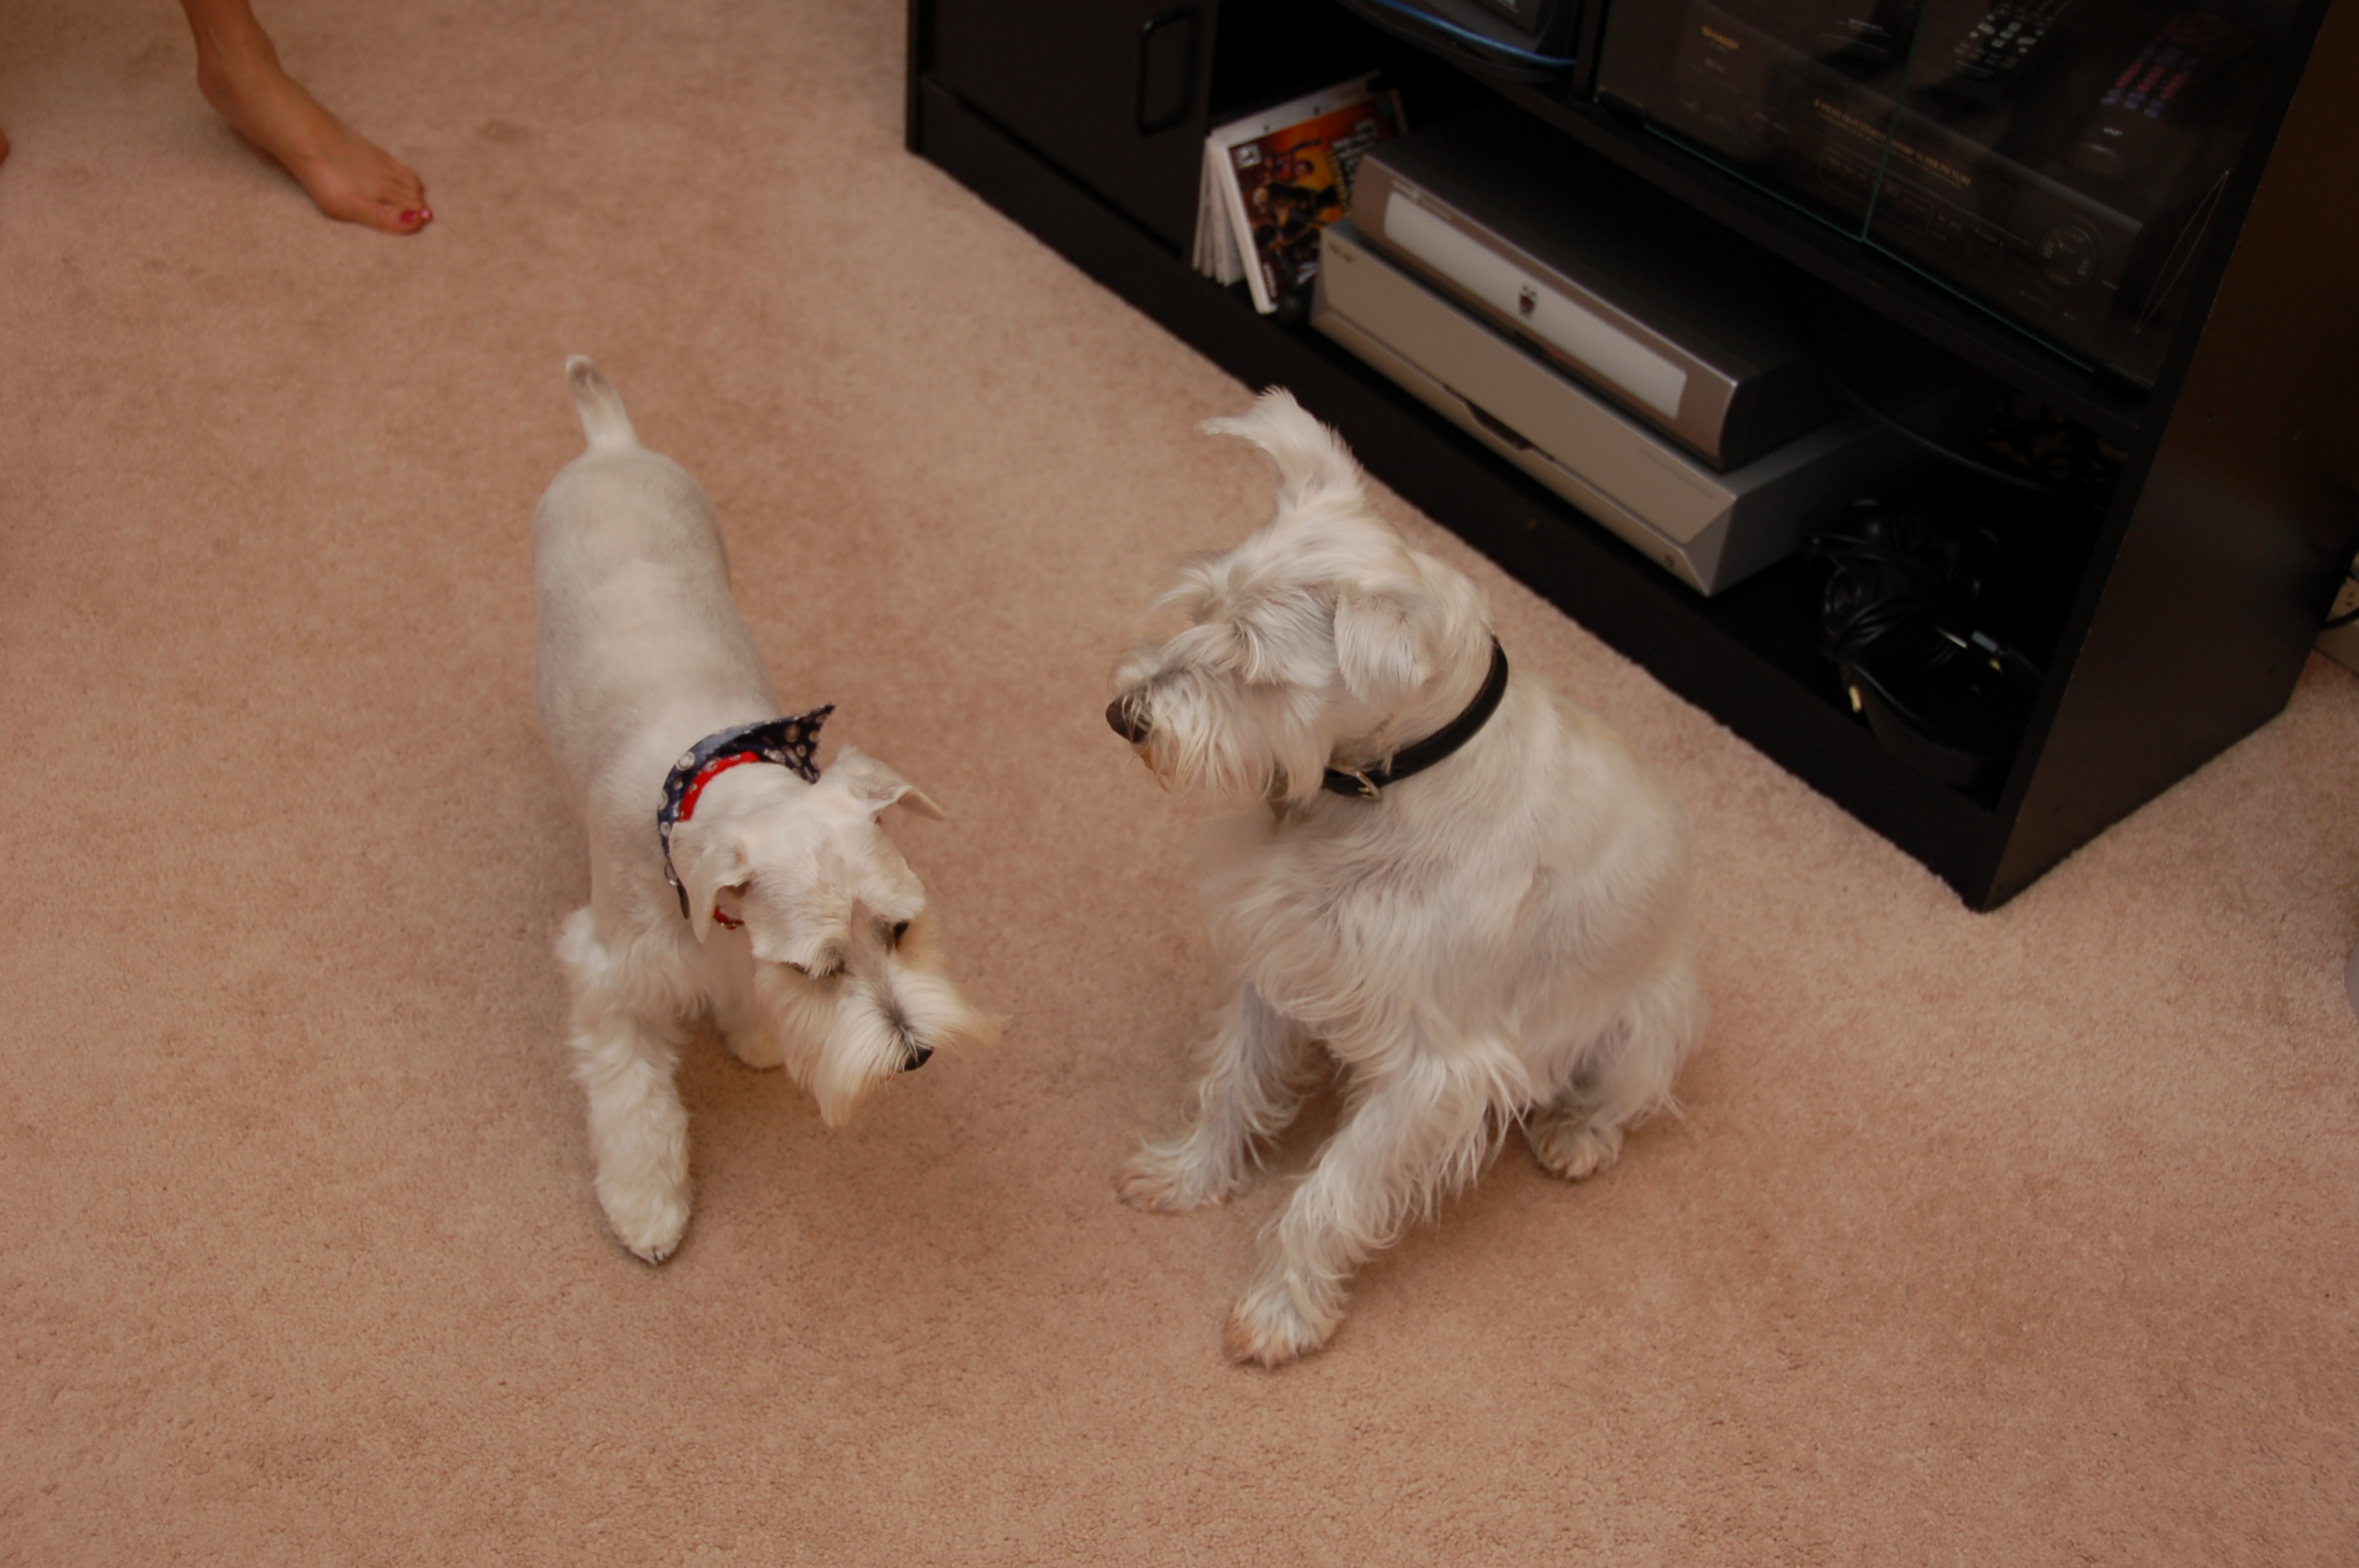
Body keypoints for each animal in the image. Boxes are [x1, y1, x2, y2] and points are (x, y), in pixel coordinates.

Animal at [533, 357, 995, 1262]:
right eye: (819, 971)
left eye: (900, 929)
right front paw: (648, 1207)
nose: (916, 1056)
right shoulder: (612, 975)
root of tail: (611, 444)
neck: (713, 775)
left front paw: (754, 1035)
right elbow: (634, 1100)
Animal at [1107, 389, 1704, 1366]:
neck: (1372, 787)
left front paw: (1279, 1310)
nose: (1123, 715)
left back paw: (1576, 1132)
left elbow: (1332, 1191)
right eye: (1201, 605)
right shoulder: (1280, 955)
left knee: (1628, 1097)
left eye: (1253, 666)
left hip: (1643, 1025)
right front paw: (1189, 1173)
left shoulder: (1434, 1068)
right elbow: (1230, 1081)